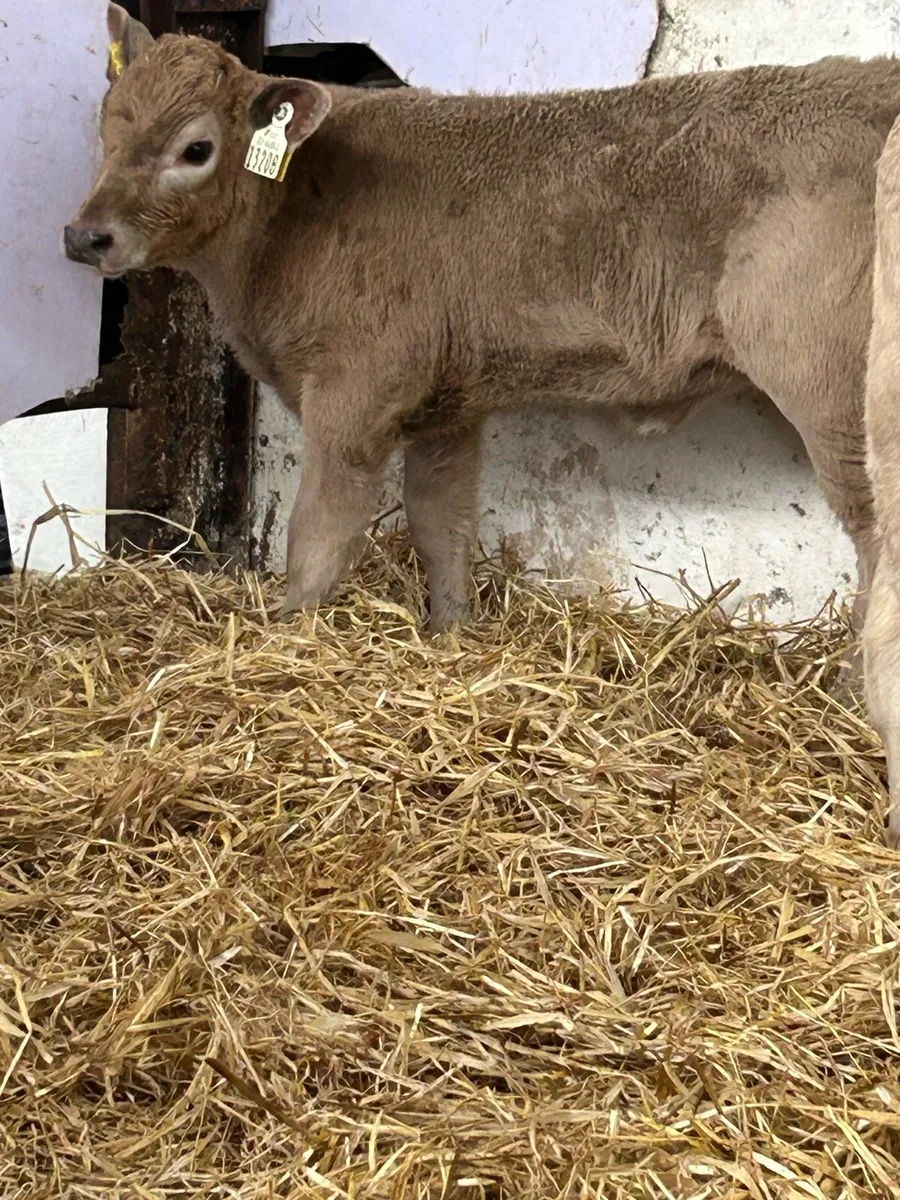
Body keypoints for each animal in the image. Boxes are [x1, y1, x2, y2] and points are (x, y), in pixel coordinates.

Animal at [66, 6, 900, 835]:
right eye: (108, 123)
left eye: (195, 148)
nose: (85, 235)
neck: (293, 215)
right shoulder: (448, 404)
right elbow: (442, 525)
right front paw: (449, 637)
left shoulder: (352, 401)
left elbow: (319, 540)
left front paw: (284, 644)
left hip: (835, 398)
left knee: (874, 554)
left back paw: (848, 693)